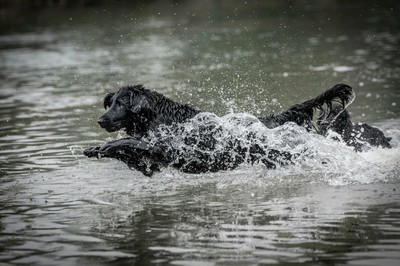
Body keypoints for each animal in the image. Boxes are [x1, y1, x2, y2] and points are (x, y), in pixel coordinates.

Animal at [83, 82, 390, 177]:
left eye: (121, 104)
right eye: (110, 102)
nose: (101, 120)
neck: (162, 118)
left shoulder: (167, 149)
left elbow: (129, 142)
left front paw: (105, 146)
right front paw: (95, 148)